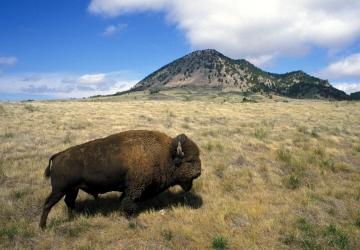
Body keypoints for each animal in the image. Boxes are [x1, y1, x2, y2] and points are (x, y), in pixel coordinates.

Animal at [40, 131, 202, 229]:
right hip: (59, 190)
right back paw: (43, 227)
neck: (166, 154)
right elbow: (129, 204)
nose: (198, 172)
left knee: (69, 202)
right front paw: (132, 220)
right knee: (48, 204)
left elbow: (123, 201)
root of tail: (58, 155)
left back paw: (75, 217)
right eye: (189, 160)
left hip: (72, 189)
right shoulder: (134, 190)